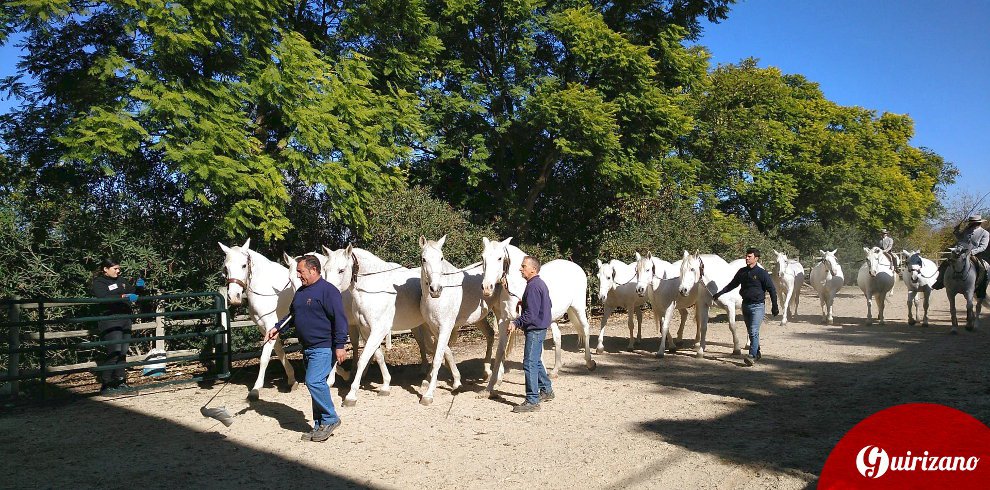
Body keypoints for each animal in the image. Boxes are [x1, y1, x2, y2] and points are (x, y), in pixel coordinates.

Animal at [223, 238, 300, 402]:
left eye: (244, 265)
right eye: (226, 267)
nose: (234, 297)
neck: (267, 288)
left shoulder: (271, 324)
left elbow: (264, 357)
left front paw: (256, 388)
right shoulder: (265, 328)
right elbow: (279, 351)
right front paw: (292, 380)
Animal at [418, 235, 500, 404]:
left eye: (441, 258)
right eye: (423, 259)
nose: (436, 289)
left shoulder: (446, 327)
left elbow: (438, 356)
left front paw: (428, 395)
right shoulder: (434, 328)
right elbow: (445, 352)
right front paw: (455, 381)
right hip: (479, 318)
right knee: (490, 335)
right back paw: (486, 372)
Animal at [482, 237, 596, 398]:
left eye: (499, 258)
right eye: (483, 258)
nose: (487, 288)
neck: (519, 286)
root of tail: (575, 266)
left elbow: (536, 352)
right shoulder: (505, 321)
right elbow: (500, 352)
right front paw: (489, 388)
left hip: (579, 307)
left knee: (585, 329)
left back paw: (589, 363)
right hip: (553, 317)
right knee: (557, 337)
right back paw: (555, 371)